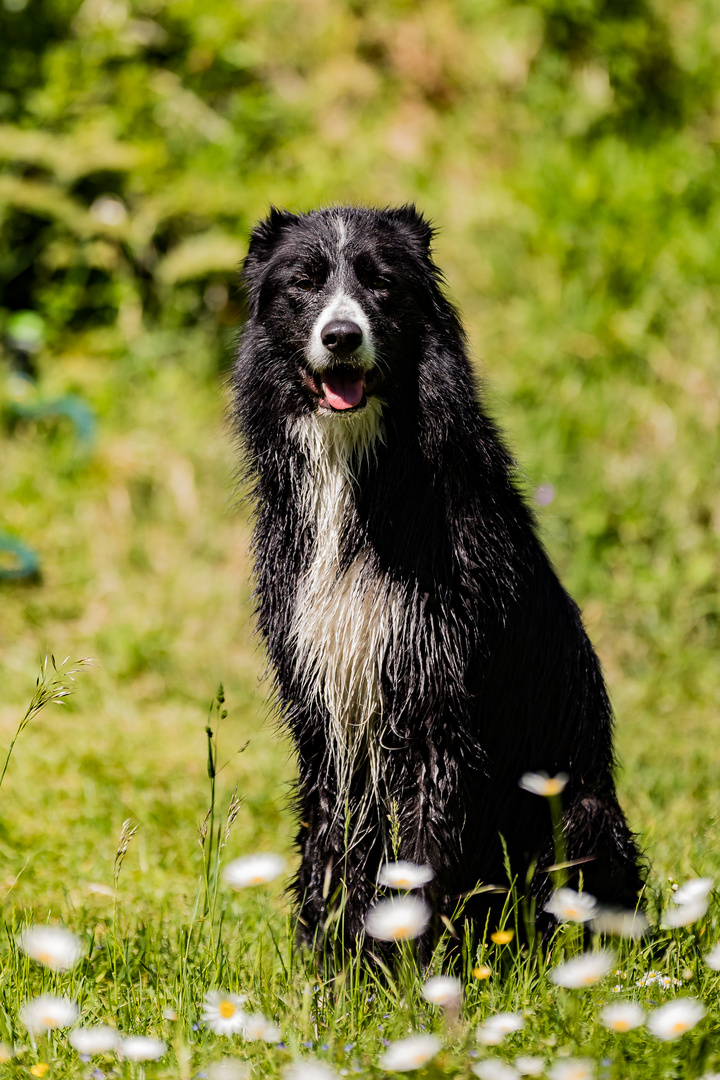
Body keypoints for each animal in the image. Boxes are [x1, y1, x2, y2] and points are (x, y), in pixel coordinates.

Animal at [234, 203, 643, 954]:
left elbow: (423, 852)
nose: (341, 336)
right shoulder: (329, 702)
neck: (361, 475)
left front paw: (412, 970)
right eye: (304, 283)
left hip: (579, 808)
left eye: (382, 283)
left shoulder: (435, 698)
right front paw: (329, 968)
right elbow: (332, 846)